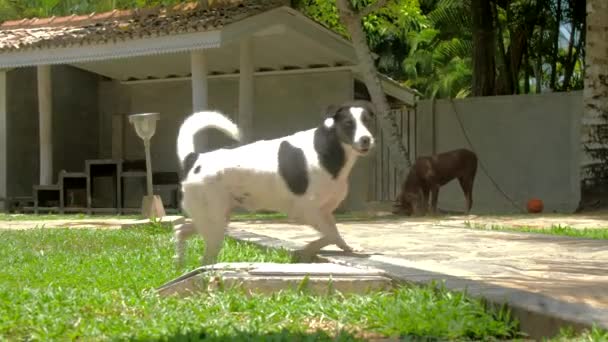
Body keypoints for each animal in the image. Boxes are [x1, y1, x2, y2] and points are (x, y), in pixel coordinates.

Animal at [171, 100, 378, 266]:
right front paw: (308, 249)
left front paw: (344, 247)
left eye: (367, 121)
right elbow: (331, 234)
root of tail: (194, 158)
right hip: (214, 224)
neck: (329, 149)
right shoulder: (306, 212)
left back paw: (180, 263)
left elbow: (333, 234)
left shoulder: (324, 213)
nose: (366, 139)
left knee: (180, 229)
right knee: (205, 258)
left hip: (213, 218)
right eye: (348, 123)